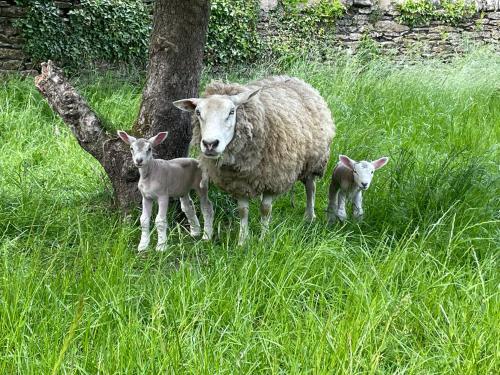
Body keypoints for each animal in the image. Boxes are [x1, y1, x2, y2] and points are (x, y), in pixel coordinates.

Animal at [173, 76, 336, 247]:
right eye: (198, 112)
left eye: (232, 111)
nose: (210, 144)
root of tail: (293, 78)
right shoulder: (238, 182)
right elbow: (242, 211)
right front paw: (242, 241)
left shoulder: (272, 180)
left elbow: (265, 209)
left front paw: (263, 239)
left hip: (315, 160)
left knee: (311, 187)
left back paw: (309, 216)